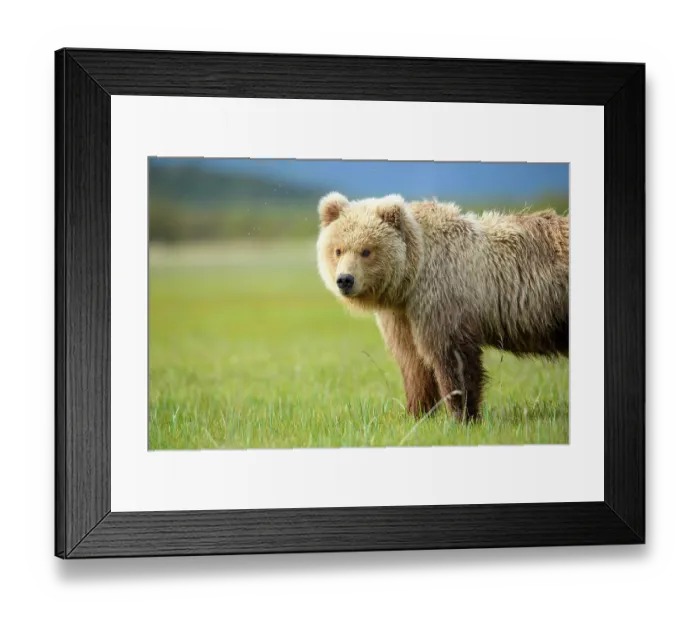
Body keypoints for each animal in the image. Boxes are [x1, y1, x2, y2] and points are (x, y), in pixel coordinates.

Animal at [316, 191, 569, 422]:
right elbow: (413, 362)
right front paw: (417, 413)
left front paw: (463, 416)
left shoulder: (442, 297)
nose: (345, 280)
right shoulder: (402, 314)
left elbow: (452, 357)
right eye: (338, 250)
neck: (413, 276)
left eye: (366, 250)